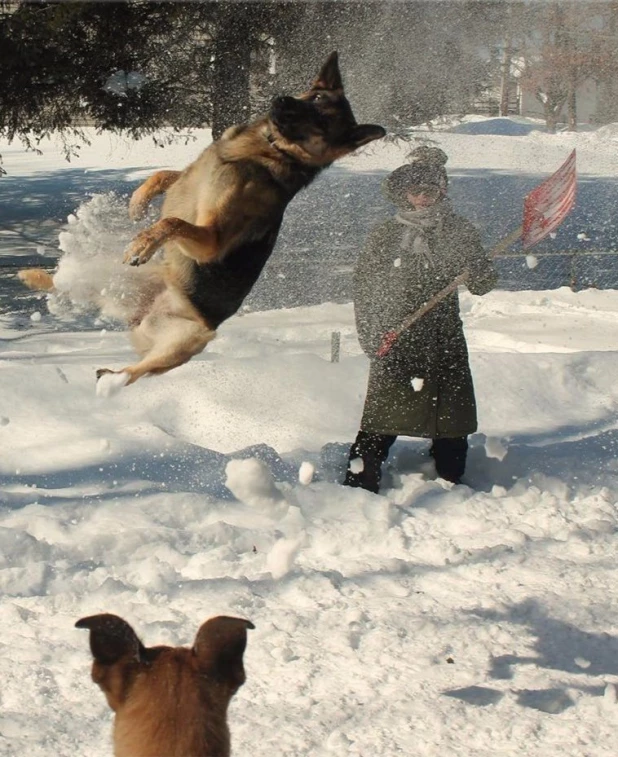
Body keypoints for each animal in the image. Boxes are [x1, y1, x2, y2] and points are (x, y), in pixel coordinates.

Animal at [19, 51, 382, 390]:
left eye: (322, 123)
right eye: (315, 97)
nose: (281, 99)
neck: (268, 150)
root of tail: (144, 314)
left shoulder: (212, 241)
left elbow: (172, 221)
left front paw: (143, 241)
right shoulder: (189, 179)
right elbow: (164, 176)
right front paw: (138, 203)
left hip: (184, 340)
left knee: (138, 372)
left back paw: (111, 382)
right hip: (126, 278)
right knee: (77, 290)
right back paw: (39, 278)